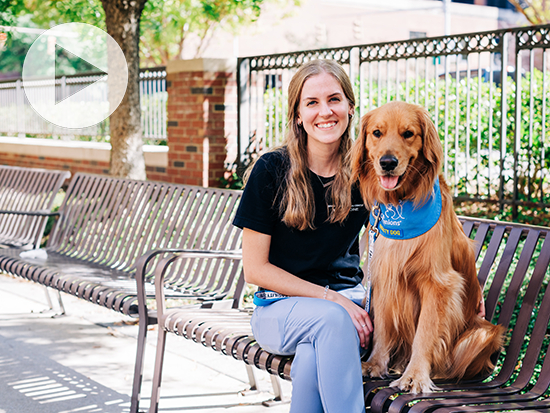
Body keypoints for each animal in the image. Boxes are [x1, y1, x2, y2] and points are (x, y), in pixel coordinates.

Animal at [354, 100, 504, 392]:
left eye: (408, 134)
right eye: (377, 133)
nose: (387, 163)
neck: (400, 205)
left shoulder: (438, 283)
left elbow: (426, 332)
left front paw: (415, 376)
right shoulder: (383, 274)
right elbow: (382, 329)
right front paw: (376, 364)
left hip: (484, 333)